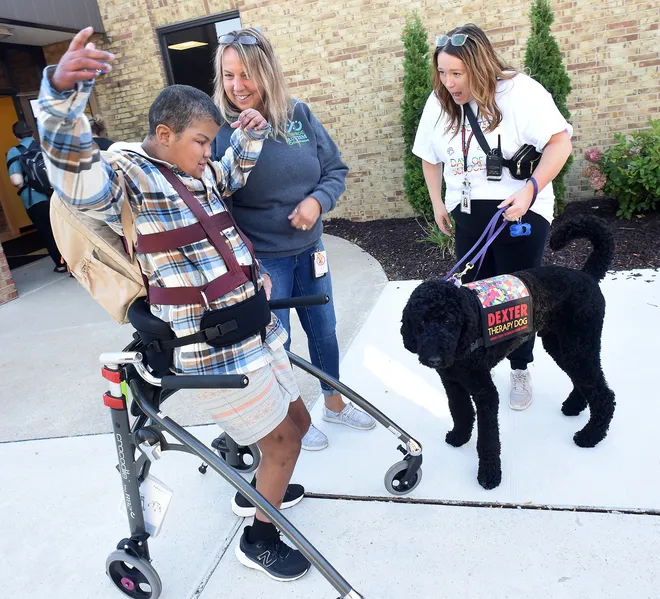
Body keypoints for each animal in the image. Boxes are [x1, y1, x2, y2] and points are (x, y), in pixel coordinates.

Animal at [400, 218, 616, 490]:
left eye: (449, 321)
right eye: (421, 322)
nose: (434, 359)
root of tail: (587, 275)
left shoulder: (485, 393)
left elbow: (488, 438)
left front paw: (489, 475)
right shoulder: (452, 383)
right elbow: (460, 411)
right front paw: (459, 436)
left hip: (579, 345)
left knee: (604, 393)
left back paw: (590, 436)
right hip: (564, 346)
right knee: (584, 381)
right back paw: (574, 406)